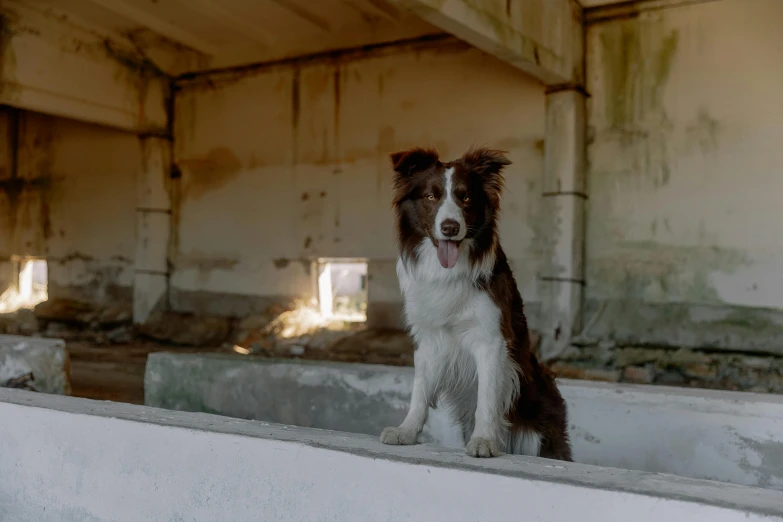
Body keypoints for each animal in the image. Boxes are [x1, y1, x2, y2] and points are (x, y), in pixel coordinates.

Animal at [376, 144, 572, 458]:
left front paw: (484, 441)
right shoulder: (428, 340)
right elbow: (420, 391)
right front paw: (406, 431)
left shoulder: (491, 340)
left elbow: (487, 399)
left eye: (465, 197)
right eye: (431, 196)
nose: (450, 227)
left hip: (537, 427)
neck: (446, 272)